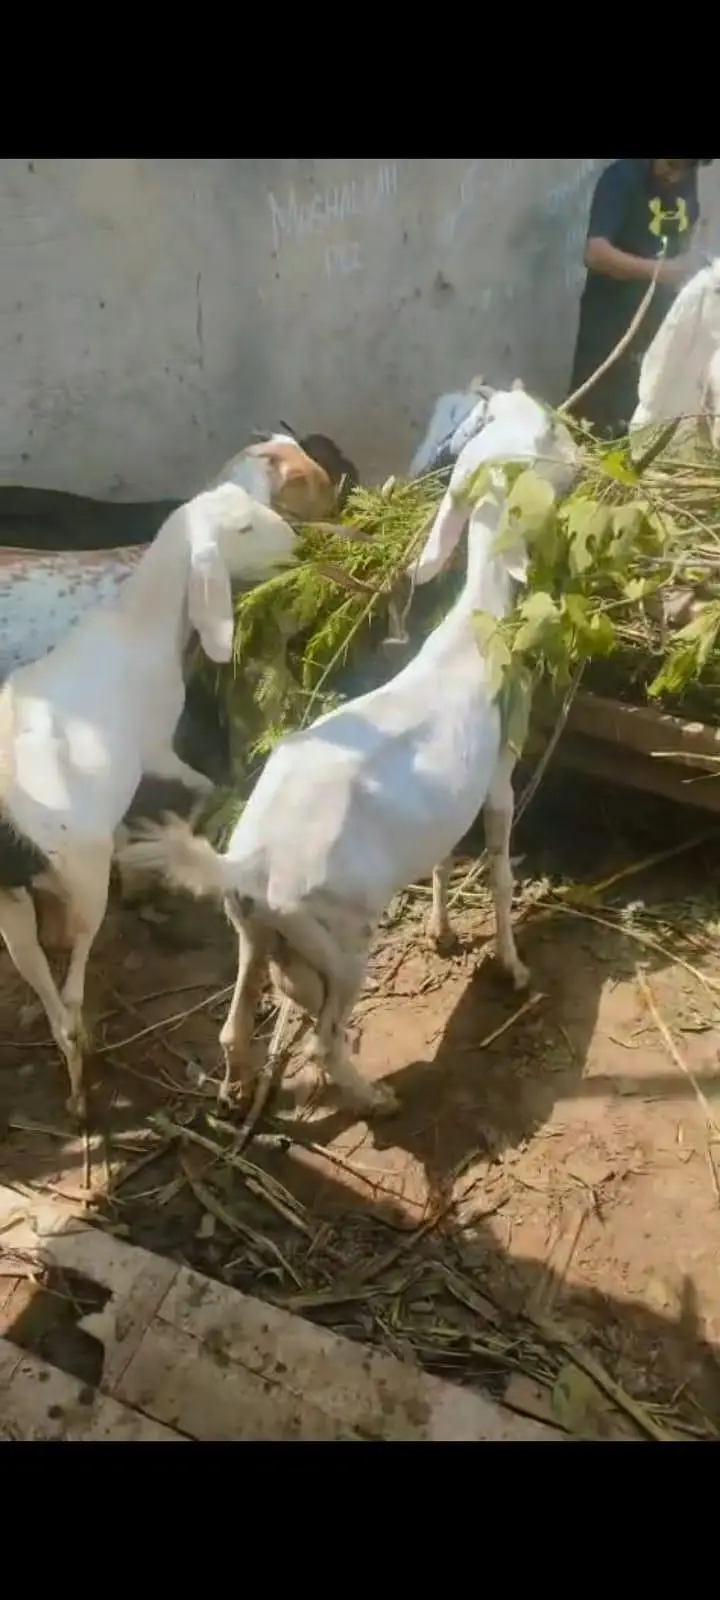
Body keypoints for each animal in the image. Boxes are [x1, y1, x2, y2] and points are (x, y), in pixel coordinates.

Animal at [0, 482, 301, 1122]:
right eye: (242, 529)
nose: (297, 542)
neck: (139, 625)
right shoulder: (157, 748)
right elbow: (205, 786)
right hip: (81, 875)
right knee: (73, 992)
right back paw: (84, 1090)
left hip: (6, 900)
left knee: (45, 988)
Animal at [120, 390, 579, 1119]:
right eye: (546, 434)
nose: (585, 457)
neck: (475, 631)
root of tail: (250, 867)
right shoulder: (500, 774)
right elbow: (502, 872)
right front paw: (512, 966)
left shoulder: (445, 808)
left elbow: (444, 861)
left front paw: (442, 932)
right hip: (339, 938)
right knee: (324, 1039)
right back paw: (374, 1098)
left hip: (252, 933)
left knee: (233, 1027)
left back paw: (235, 1092)